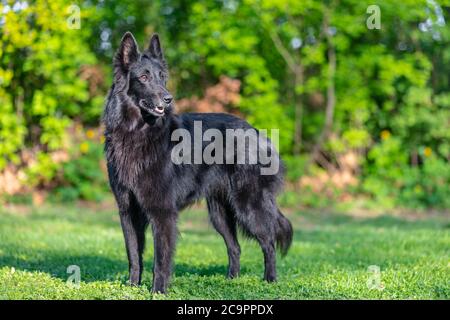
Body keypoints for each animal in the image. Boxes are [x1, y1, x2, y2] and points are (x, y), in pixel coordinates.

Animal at [102, 31, 294, 292]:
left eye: (162, 77)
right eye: (144, 77)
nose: (168, 98)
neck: (137, 132)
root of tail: (256, 132)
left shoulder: (162, 212)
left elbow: (160, 259)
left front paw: (158, 291)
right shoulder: (128, 211)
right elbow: (134, 255)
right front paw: (133, 287)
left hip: (249, 205)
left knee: (269, 242)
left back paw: (270, 281)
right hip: (219, 213)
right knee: (235, 247)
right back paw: (232, 280)